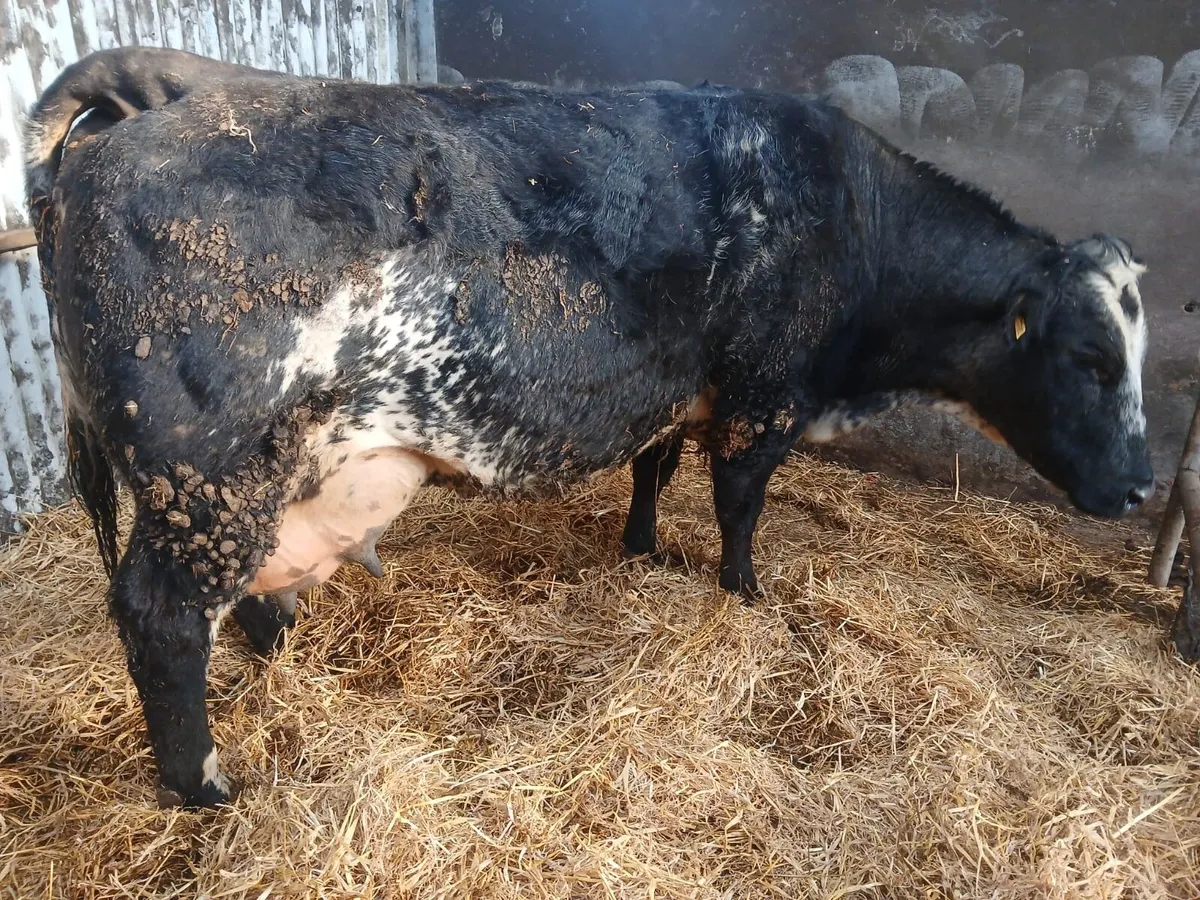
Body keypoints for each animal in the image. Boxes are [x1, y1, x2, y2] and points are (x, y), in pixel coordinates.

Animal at [26, 48, 1153, 808]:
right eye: (1091, 361)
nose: (1143, 486)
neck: (854, 215)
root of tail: (153, 105)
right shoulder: (763, 397)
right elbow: (740, 506)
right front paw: (744, 594)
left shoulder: (677, 385)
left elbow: (655, 470)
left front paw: (643, 548)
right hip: (204, 478)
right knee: (164, 620)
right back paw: (205, 786)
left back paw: (277, 652)